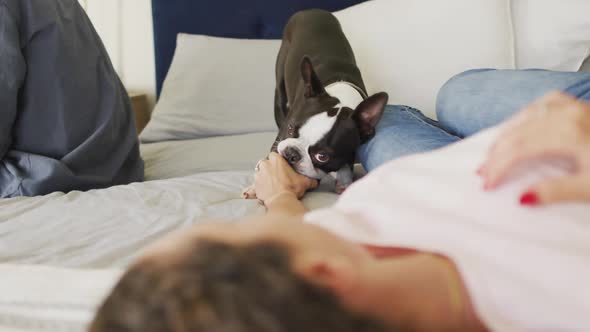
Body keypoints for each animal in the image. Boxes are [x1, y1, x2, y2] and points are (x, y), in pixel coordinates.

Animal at [244, 9, 388, 198]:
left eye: (322, 156)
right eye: (290, 128)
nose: (291, 153)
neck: (341, 95)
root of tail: (311, 11)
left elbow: (347, 162)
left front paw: (344, 180)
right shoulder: (281, 134)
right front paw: (255, 188)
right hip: (280, 87)